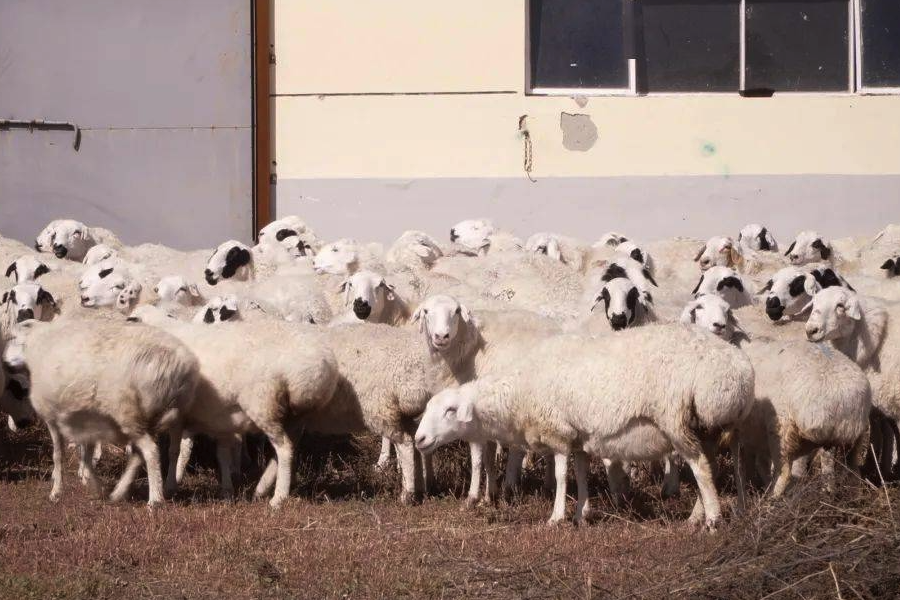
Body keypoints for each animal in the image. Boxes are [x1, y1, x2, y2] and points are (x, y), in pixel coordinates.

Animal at [19, 318, 199, 506]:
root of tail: (173, 365)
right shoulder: (85, 423)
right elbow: (86, 457)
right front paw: (94, 485)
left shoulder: (53, 418)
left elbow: (59, 455)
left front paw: (56, 492)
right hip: (161, 415)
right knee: (149, 453)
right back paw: (122, 492)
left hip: (129, 413)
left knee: (151, 452)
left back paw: (154, 499)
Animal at [418, 326, 756, 528]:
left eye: (450, 411)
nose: (420, 438)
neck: (521, 390)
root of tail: (739, 370)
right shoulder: (578, 437)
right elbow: (580, 473)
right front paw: (582, 513)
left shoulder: (558, 432)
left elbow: (560, 475)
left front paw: (556, 517)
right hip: (710, 427)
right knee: (713, 467)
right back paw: (702, 515)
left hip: (677, 420)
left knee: (700, 468)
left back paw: (711, 521)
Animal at [684, 292, 868, 494]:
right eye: (698, 308)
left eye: (727, 310)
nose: (718, 325)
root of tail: (841, 396)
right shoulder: (751, 429)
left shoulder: (740, 428)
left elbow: (742, 466)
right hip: (853, 438)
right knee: (848, 469)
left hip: (782, 427)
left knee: (785, 471)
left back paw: (772, 497)